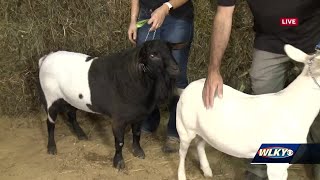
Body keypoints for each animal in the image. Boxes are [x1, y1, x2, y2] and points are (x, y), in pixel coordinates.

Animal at [38, 40, 182, 169]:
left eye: (170, 51)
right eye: (153, 55)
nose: (176, 69)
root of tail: (46, 57)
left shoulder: (139, 115)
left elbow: (137, 133)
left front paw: (138, 151)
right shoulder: (118, 119)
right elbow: (120, 142)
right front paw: (118, 162)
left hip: (70, 97)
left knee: (71, 114)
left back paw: (81, 135)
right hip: (50, 97)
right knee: (50, 123)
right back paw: (51, 147)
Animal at [178, 44, 320, 180]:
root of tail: (192, 84)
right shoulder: (276, 164)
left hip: (203, 130)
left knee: (199, 144)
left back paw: (207, 170)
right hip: (184, 127)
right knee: (182, 152)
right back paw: (182, 175)